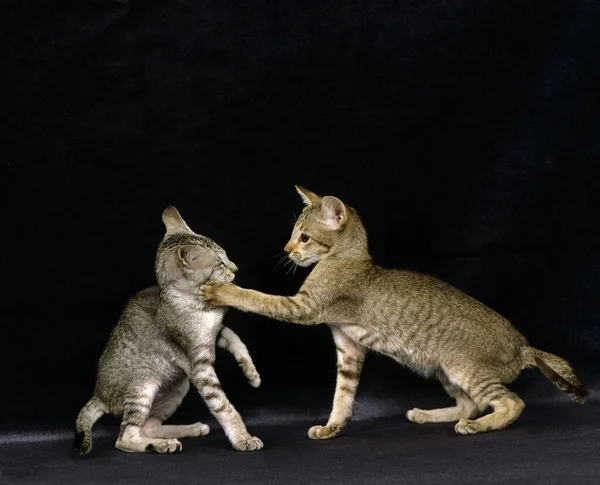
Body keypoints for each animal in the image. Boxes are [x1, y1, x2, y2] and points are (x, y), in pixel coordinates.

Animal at [74, 207, 262, 454]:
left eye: (226, 255)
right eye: (220, 263)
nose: (235, 267)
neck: (200, 303)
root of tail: (99, 394)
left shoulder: (216, 331)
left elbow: (237, 339)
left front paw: (251, 373)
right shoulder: (200, 367)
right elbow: (223, 406)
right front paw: (242, 438)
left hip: (177, 386)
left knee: (148, 426)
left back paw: (189, 429)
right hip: (142, 387)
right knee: (124, 437)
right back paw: (161, 444)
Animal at [200, 184, 584, 434]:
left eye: (304, 237)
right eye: (294, 235)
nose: (286, 249)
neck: (348, 259)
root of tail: (524, 346)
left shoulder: (303, 307)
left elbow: (257, 298)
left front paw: (222, 290)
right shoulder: (349, 347)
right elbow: (343, 395)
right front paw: (332, 426)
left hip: (466, 370)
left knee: (510, 403)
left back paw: (478, 426)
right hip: (444, 370)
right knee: (470, 403)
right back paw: (428, 416)